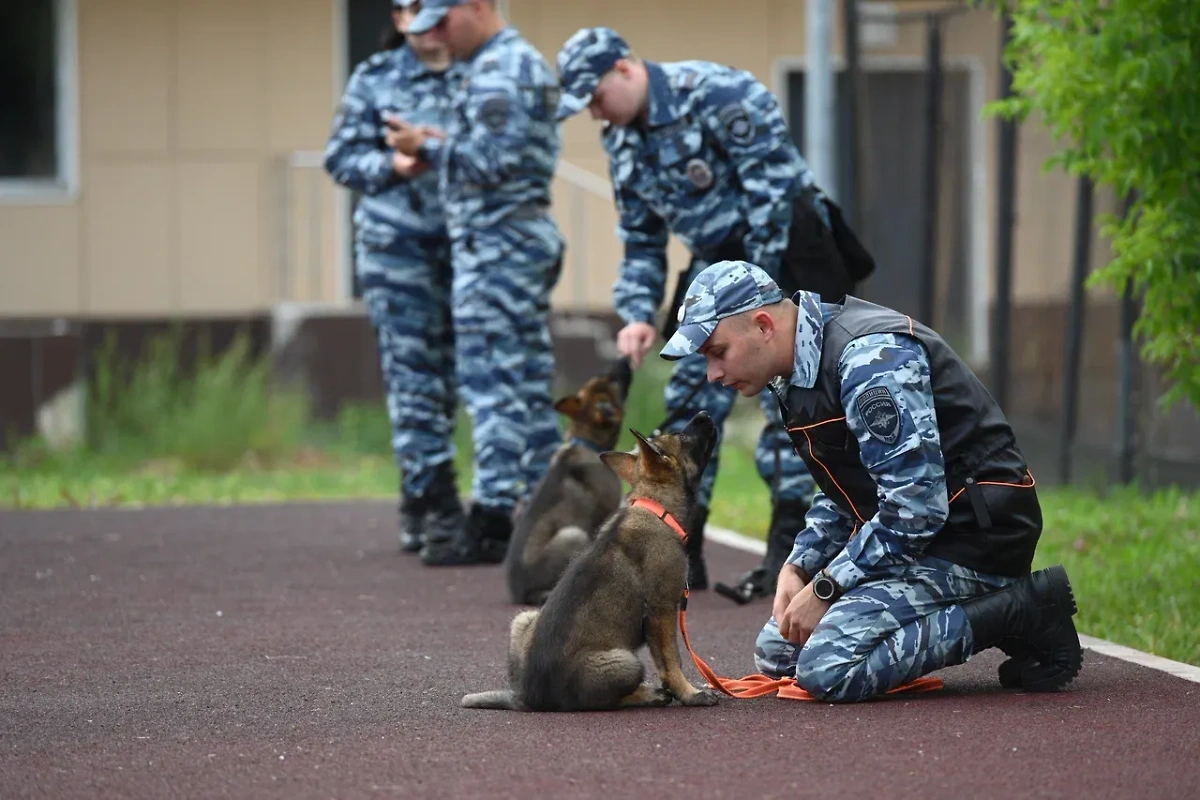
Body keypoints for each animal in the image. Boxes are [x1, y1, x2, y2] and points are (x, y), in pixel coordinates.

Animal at [460, 412, 720, 714]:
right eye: (681, 436)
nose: (704, 415)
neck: (656, 508)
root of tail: (528, 697)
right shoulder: (662, 609)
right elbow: (672, 661)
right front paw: (690, 693)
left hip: (523, 619)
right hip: (626, 661)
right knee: (603, 700)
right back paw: (649, 694)